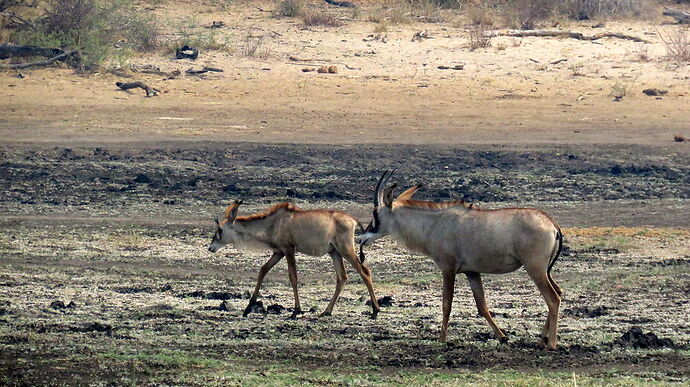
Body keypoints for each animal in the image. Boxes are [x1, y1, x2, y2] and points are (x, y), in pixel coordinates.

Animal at [210, 202, 382, 320]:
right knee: (342, 278)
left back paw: (375, 311)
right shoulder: (278, 252)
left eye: (220, 230)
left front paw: (295, 311)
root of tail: (353, 220)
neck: (274, 222)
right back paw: (326, 311)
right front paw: (247, 309)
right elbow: (262, 271)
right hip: (335, 253)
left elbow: (293, 277)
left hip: (346, 250)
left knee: (365, 272)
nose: (211, 247)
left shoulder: (288, 250)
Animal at [358, 171, 560, 350]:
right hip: (544, 271)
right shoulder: (472, 272)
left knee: (553, 298)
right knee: (557, 292)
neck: (435, 223)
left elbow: (446, 304)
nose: (361, 239)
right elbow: (482, 306)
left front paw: (442, 339)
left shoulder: (448, 268)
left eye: (375, 214)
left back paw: (550, 344)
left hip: (535, 268)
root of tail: (552, 224)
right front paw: (503, 337)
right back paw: (541, 341)